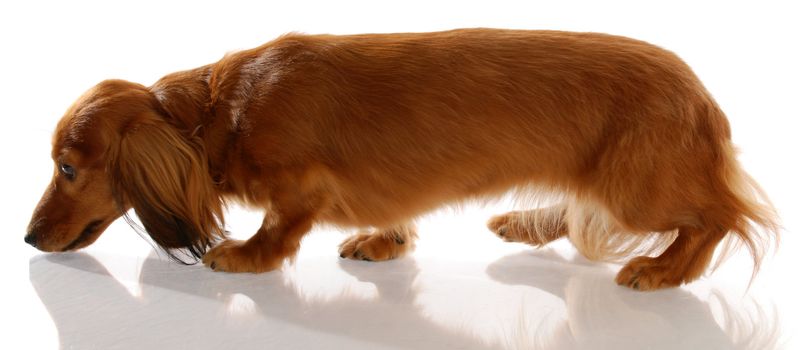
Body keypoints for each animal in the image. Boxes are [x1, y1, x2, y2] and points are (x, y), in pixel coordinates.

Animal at [25, 28, 776, 290]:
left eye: (67, 168)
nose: (28, 238)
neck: (222, 110)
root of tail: (703, 100)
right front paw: (382, 241)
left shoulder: (299, 186)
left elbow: (279, 226)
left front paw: (244, 254)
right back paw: (522, 223)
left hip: (636, 190)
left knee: (721, 218)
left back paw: (663, 270)